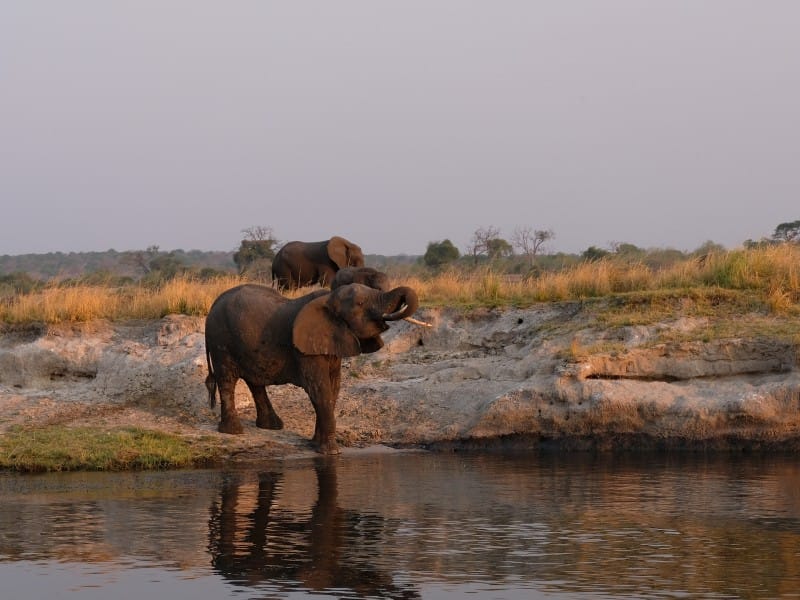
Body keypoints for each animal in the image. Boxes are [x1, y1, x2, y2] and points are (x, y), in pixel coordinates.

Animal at [204, 282, 419, 454]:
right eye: (360, 304)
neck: (328, 299)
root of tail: (213, 304)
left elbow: (333, 388)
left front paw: (316, 444)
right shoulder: (305, 351)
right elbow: (319, 389)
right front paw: (331, 452)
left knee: (254, 381)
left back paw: (271, 427)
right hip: (220, 341)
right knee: (227, 380)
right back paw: (233, 431)